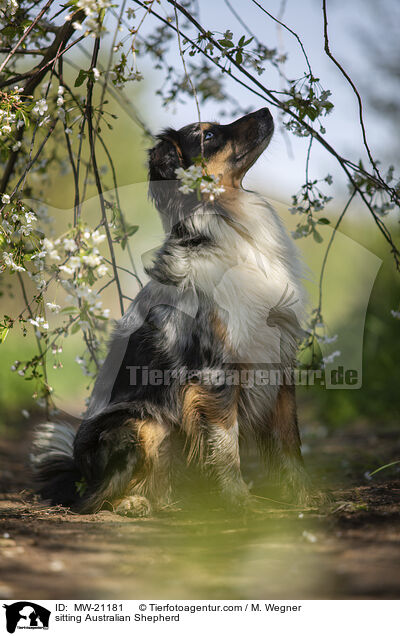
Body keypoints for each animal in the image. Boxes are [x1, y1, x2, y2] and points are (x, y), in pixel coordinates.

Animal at [31, 108, 312, 516]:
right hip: (138, 424)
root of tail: (79, 473)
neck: (227, 222)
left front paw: (305, 495)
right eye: (208, 135)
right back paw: (133, 503)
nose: (266, 111)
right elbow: (226, 446)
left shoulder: (278, 362)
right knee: (93, 499)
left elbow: (290, 439)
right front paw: (239, 504)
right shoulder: (214, 370)